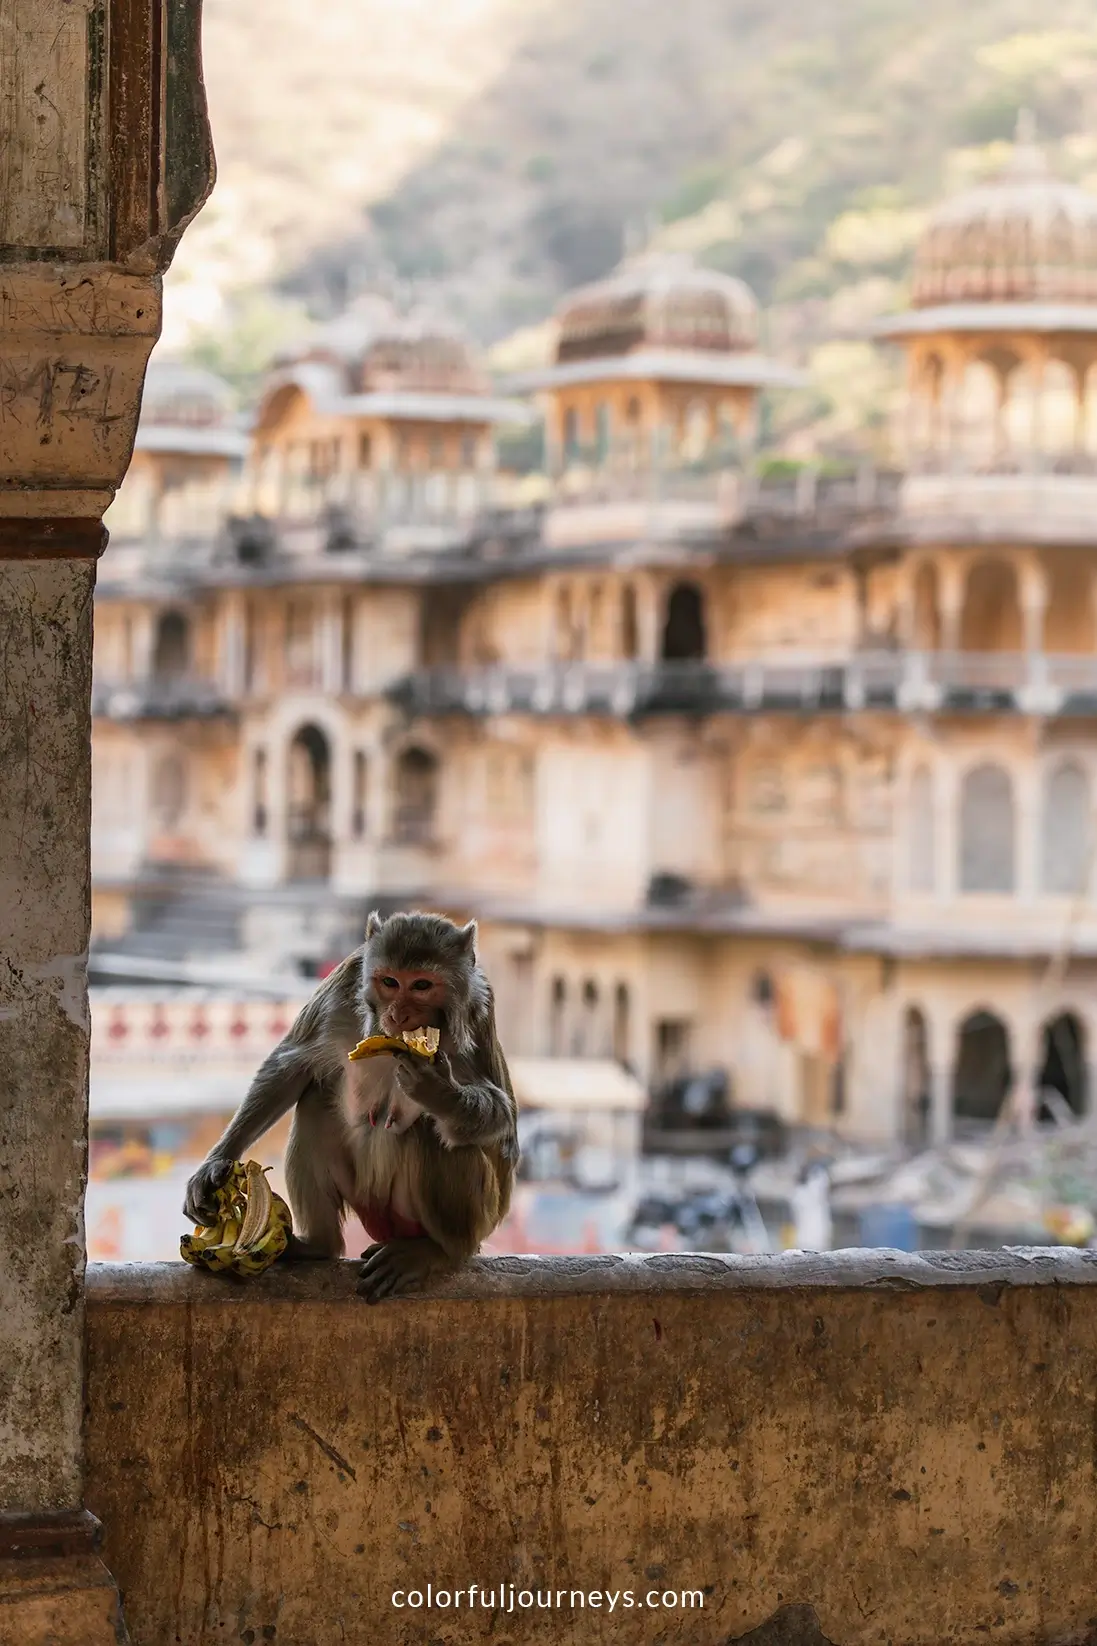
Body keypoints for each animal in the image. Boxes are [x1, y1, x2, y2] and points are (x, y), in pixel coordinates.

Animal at [182, 910, 519, 1303]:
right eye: (390, 981)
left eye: (421, 985)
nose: (398, 1015)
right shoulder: (345, 980)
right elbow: (292, 1066)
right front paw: (215, 1165)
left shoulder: (479, 1011)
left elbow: (503, 1119)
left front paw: (438, 1092)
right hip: (366, 1198)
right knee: (314, 1102)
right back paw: (318, 1246)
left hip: (478, 1217)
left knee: (433, 1134)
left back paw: (438, 1251)